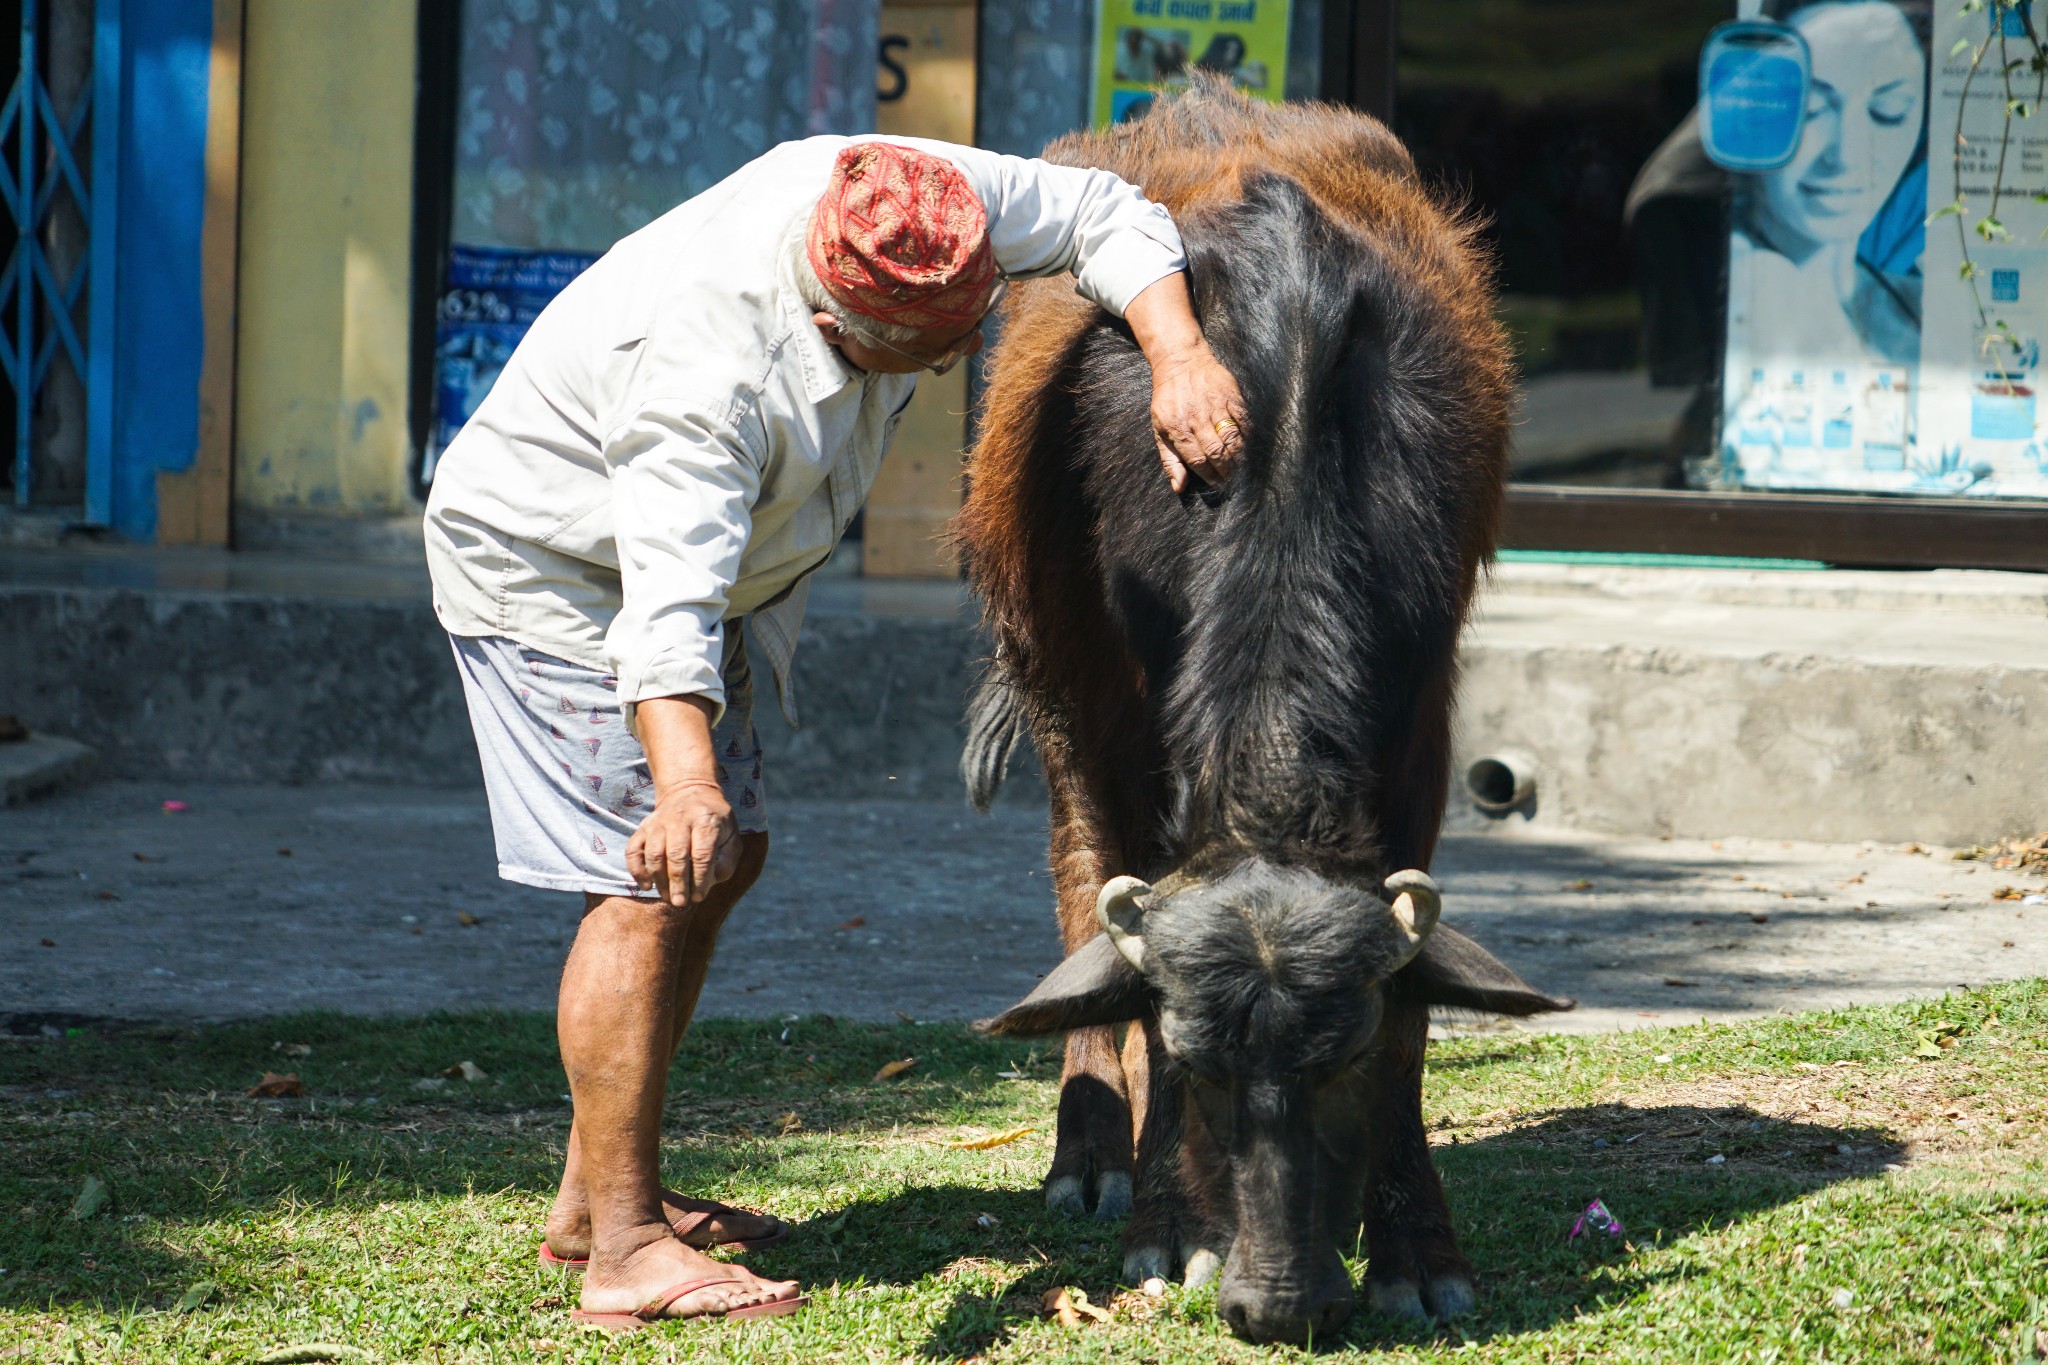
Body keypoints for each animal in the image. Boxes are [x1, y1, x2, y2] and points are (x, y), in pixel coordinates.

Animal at [954, 77, 1564, 1342]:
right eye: (1203, 1068)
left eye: (1343, 1062)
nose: (1276, 1302)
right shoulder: (1125, 715)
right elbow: (1122, 940)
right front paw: (1164, 1222)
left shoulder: (1418, 722)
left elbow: (1419, 1020)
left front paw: (1413, 1248)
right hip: (1051, 681)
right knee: (1076, 879)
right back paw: (1091, 1157)